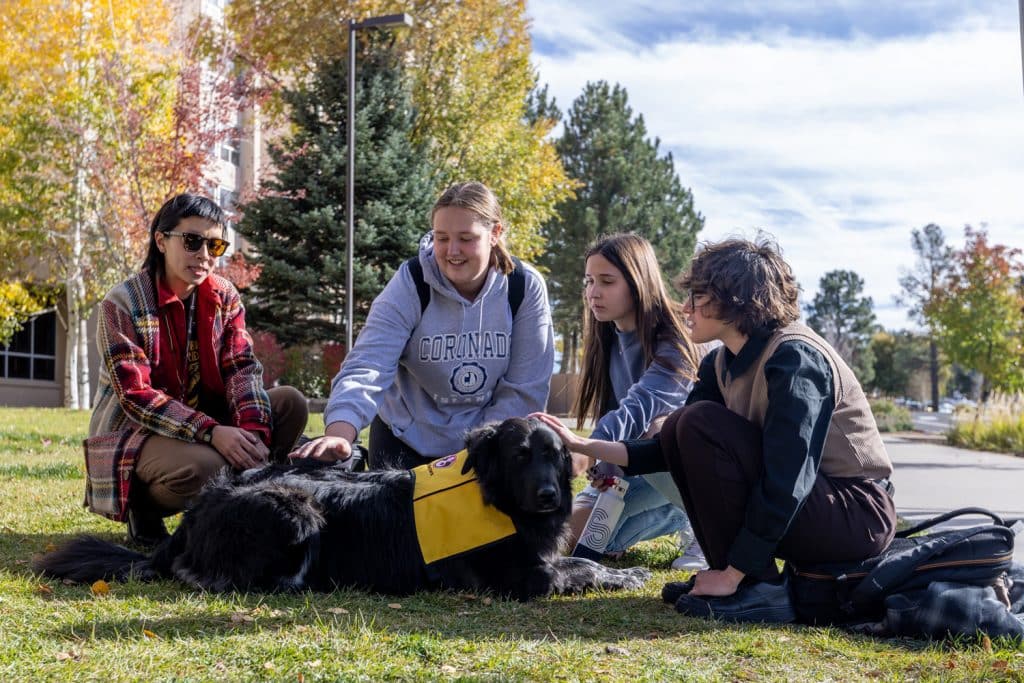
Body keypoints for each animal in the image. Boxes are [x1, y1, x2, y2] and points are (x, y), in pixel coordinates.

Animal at [39, 419, 651, 602]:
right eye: (521, 455)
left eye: (555, 458)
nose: (549, 495)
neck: (492, 495)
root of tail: (191, 517)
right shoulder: (520, 578)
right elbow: (575, 570)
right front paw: (619, 576)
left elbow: (581, 561)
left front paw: (626, 572)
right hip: (297, 509)